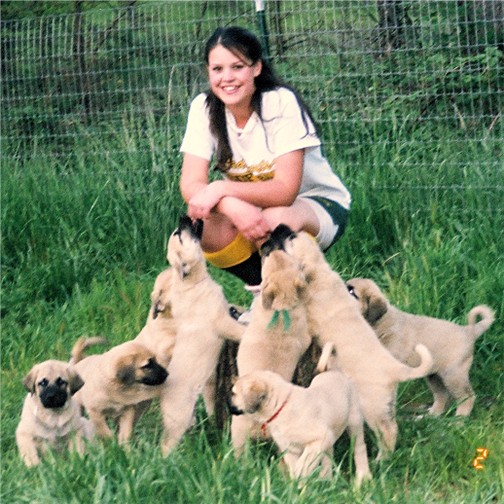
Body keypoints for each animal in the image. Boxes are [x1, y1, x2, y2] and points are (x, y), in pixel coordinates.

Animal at [158, 217, 244, 456]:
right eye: (179, 234)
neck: (190, 283)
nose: (183, 216)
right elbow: (240, 330)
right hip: (179, 417)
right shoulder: (222, 323)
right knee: (167, 444)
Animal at [229, 360, 370, 486]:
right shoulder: (291, 449)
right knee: (328, 456)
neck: (281, 406)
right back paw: (325, 480)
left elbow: (303, 464)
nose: (228, 405)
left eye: (234, 393)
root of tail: (334, 371)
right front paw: (297, 488)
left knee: (359, 448)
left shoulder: (318, 440)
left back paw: (363, 476)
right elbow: (295, 467)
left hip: (354, 422)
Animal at [268, 226, 434, 458]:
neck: (320, 273)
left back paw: (382, 460)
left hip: (372, 406)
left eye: (290, 239)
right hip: (385, 404)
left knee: (388, 431)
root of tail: (395, 369)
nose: (278, 227)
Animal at [346, 278, 496, 416]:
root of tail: (469, 331)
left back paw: (459, 419)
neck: (378, 324)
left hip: (453, 374)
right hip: (434, 376)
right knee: (442, 396)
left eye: (352, 292)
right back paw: (431, 416)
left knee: (467, 396)